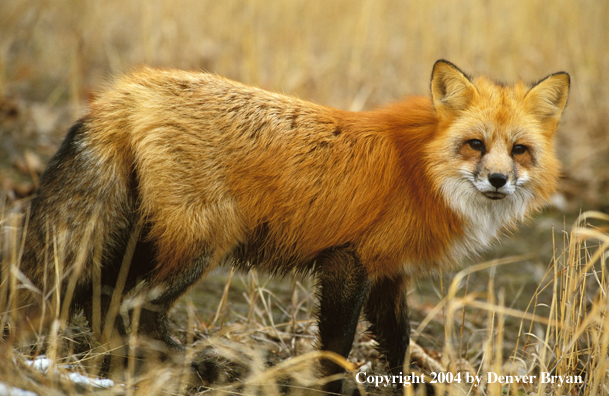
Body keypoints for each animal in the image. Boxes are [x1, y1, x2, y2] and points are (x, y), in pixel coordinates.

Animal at [11, 59, 568, 392]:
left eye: (519, 150)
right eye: (475, 144)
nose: (498, 179)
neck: (418, 171)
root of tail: (132, 87)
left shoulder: (388, 272)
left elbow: (398, 344)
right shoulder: (348, 262)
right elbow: (337, 348)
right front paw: (332, 388)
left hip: (144, 239)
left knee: (103, 299)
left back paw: (124, 364)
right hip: (200, 246)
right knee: (136, 308)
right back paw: (187, 366)